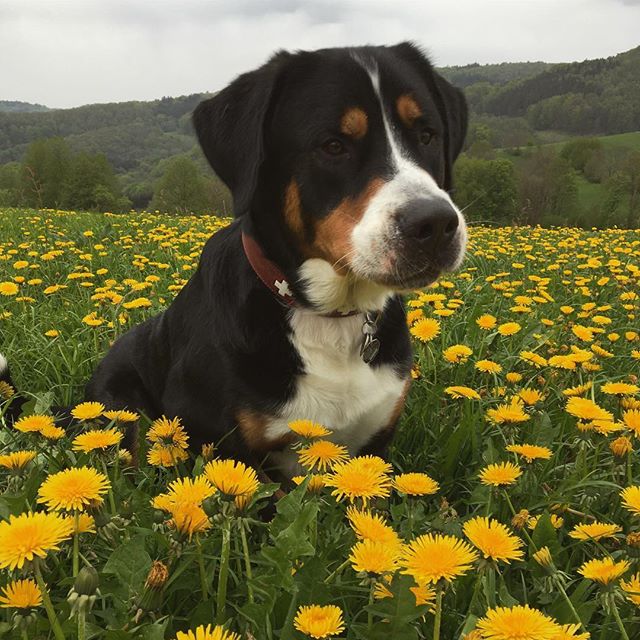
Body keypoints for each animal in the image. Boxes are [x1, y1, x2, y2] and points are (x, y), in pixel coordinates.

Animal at [0, 41, 464, 480]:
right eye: (333, 145)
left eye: (427, 135)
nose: (436, 223)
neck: (327, 318)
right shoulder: (218, 439)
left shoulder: (375, 441)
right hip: (122, 410)